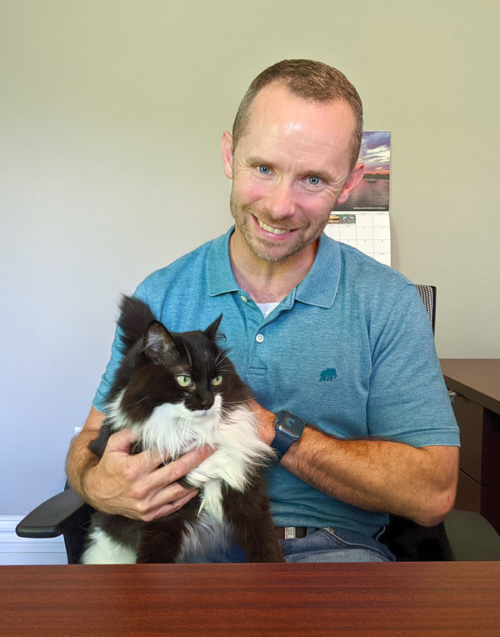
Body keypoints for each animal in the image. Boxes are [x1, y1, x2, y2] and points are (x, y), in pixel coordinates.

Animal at [83, 296, 286, 564]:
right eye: (184, 380)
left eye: (216, 380)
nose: (208, 401)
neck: (195, 435)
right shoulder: (160, 518)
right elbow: (153, 559)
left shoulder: (247, 495)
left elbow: (267, 550)